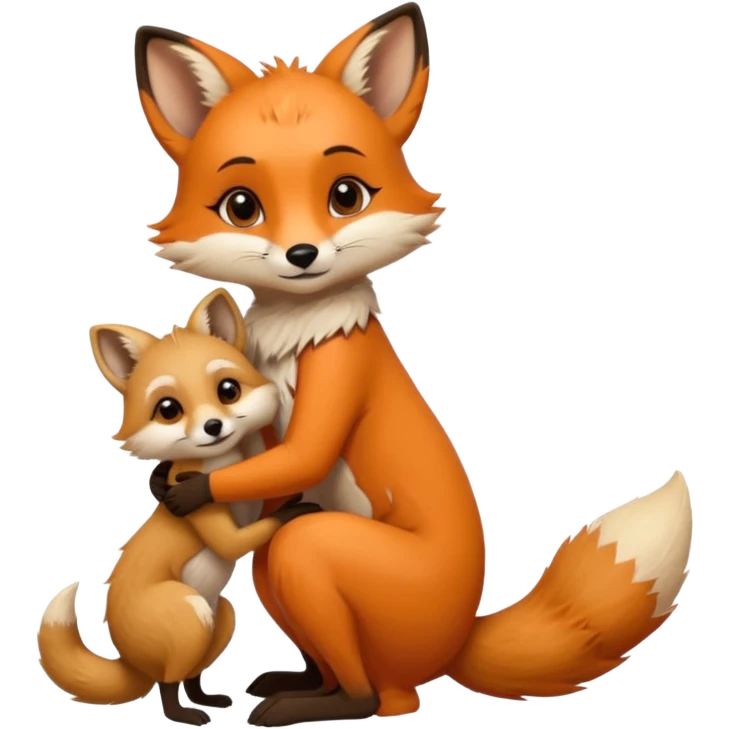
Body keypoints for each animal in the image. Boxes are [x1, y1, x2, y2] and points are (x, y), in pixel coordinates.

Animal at [37, 287, 321, 727]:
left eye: (228, 390)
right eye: (168, 409)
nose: (213, 428)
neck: (220, 464)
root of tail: (130, 662)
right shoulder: (215, 522)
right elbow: (239, 538)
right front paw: (295, 511)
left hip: (221, 617)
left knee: (189, 674)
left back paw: (206, 699)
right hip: (190, 614)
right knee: (167, 683)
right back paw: (184, 714)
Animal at [131, 4, 696, 726]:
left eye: (346, 195)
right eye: (241, 206)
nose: (302, 255)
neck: (297, 334)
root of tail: (457, 641)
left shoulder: (337, 373)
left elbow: (304, 453)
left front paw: (188, 489)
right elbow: (266, 466)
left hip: (324, 557)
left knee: (375, 680)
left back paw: (319, 703)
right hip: (285, 576)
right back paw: (299, 682)